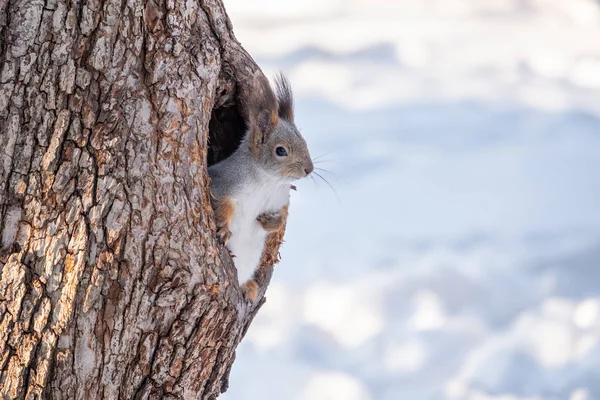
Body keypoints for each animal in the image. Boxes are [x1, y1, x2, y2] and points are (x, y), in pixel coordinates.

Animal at [209, 73, 314, 302]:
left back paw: (249, 287)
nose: (309, 169)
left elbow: (283, 214)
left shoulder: (279, 199)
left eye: (305, 143)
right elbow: (221, 203)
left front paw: (271, 221)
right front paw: (223, 227)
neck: (269, 182)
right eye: (281, 151)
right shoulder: (223, 183)